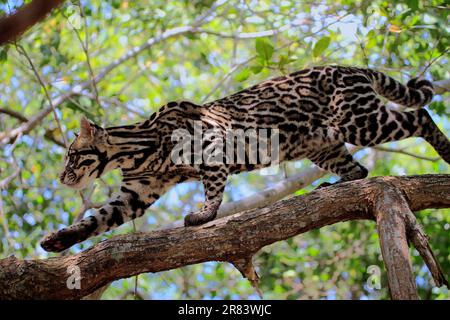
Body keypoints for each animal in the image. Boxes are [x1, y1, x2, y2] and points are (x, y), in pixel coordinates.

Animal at [40, 65, 448, 252]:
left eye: (72, 156)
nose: (60, 178)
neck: (137, 152)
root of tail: (354, 68)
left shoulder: (212, 147)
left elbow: (213, 188)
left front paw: (204, 215)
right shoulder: (135, 194)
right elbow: (96, 220)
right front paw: (59, 240)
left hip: (359, 120)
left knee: (420, 116)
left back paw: (446, 150)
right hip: (322, 144)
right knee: (359, 168)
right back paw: (333, 186)